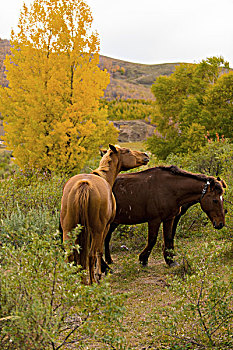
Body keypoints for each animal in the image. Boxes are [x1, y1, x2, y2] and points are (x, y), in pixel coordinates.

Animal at [59, 144, 148, 284]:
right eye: (127, 151)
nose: (146, 156)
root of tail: (84, 184)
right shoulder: (105, 227)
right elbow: (100, 252)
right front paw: (99, 274)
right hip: (97, 230)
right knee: (91, 254)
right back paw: (93, 281)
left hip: (68, 230)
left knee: (70, 255)